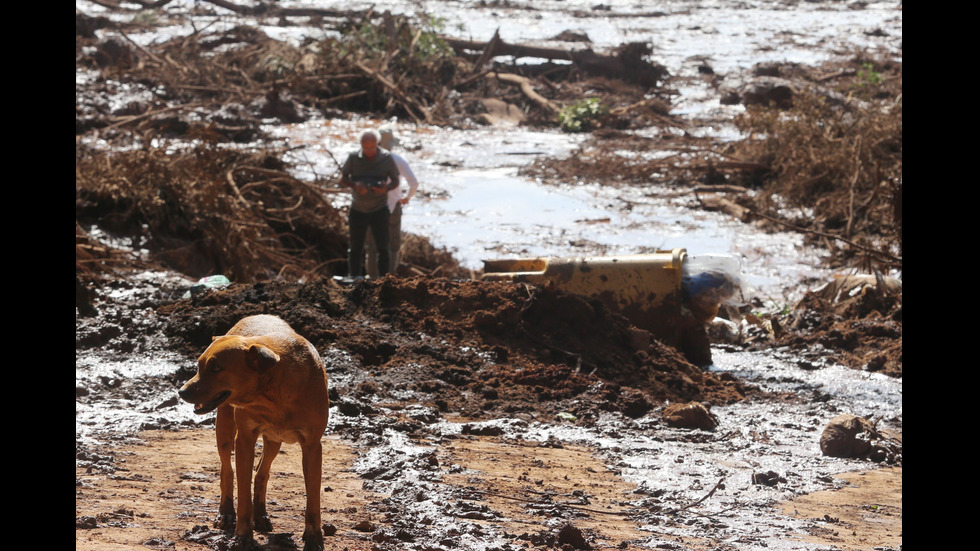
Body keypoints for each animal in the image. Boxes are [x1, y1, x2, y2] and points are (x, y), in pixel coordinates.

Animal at [176, 314, 330, 551]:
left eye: (216, 368)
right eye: (199, 365)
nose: (182, 392)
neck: (273, 394)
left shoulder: (312, 445)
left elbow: (313, 496)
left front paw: (314, 539)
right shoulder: (245, 439)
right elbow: (242, 492)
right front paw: (242, 536)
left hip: (274, 439)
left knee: (262, 472)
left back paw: (261, 515)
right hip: (225, 425)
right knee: (227, 469)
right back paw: (226, 514)